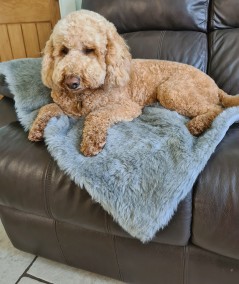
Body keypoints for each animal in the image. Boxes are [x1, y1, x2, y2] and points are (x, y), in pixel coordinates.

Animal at [28, 9, 239, 155]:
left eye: (90, 50)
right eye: (63, 51)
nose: (72, 81)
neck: (83, 96)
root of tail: (215, 84)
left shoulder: (127, 107)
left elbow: (97, 114)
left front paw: (91, 141)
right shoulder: (67, 108)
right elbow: (47, 107)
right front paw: (37, 127)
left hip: (171, 90)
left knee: (216, 109)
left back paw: (198, 125)